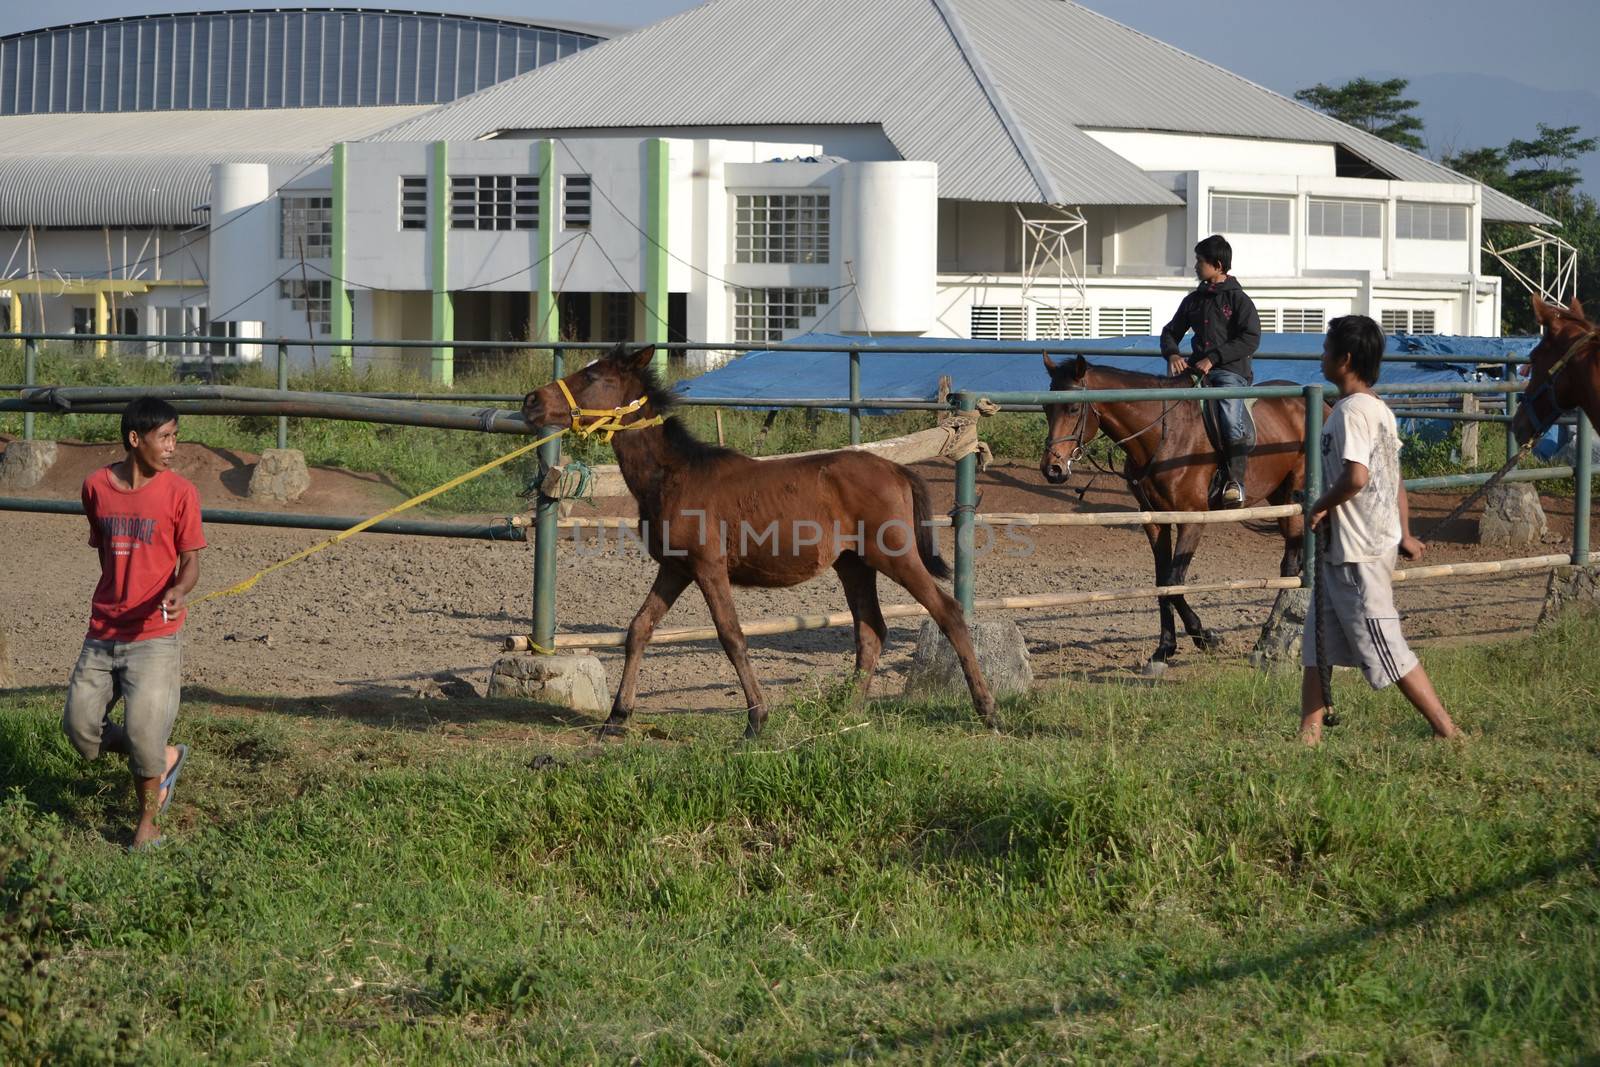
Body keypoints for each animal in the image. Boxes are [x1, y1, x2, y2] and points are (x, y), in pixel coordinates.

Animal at [524, 347, 992, 739]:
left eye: (593, 376)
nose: (531, 402)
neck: (673, 476)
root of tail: (898, 470)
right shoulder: (674, 567)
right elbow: (639, 629)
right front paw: (616, 718)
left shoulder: (708, 568)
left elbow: (731, 636)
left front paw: (756, 719)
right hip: (853, 564)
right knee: (872, 630)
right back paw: (846, 713)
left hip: (895, 555)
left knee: (948, 612)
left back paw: (987, 709)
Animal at [1043, 358, 1318, 675]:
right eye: (1046, 407)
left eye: (1074, 408)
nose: (1052, 469)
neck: (1163, 436)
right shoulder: (1155, 519)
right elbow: (1163, 582)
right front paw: (1164, 649)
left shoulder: (1192, 518)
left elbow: (1175, 581)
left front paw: (1205, 637)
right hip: (1278, 496)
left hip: (1294, 493)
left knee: (1290, 565)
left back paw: (1265, 639)